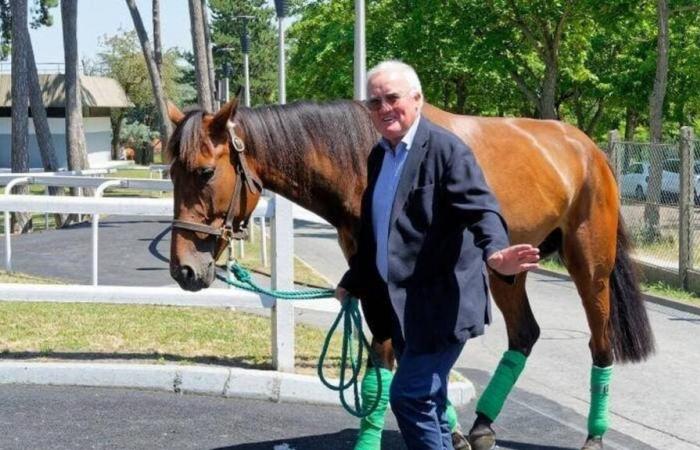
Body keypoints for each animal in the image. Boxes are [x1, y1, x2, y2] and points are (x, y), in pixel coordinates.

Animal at [167, 96, 652, 450]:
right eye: (170, 173)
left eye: (205, 171)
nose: (184, 269)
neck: (361, 156)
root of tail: (588, 149)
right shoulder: (370, 278)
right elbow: (401, 362)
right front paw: (448, 428)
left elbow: (387, 366)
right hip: (508, 267)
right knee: (524, 335)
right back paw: (481, 426)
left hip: (591, 266)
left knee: (600, 342)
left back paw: (594, 435)